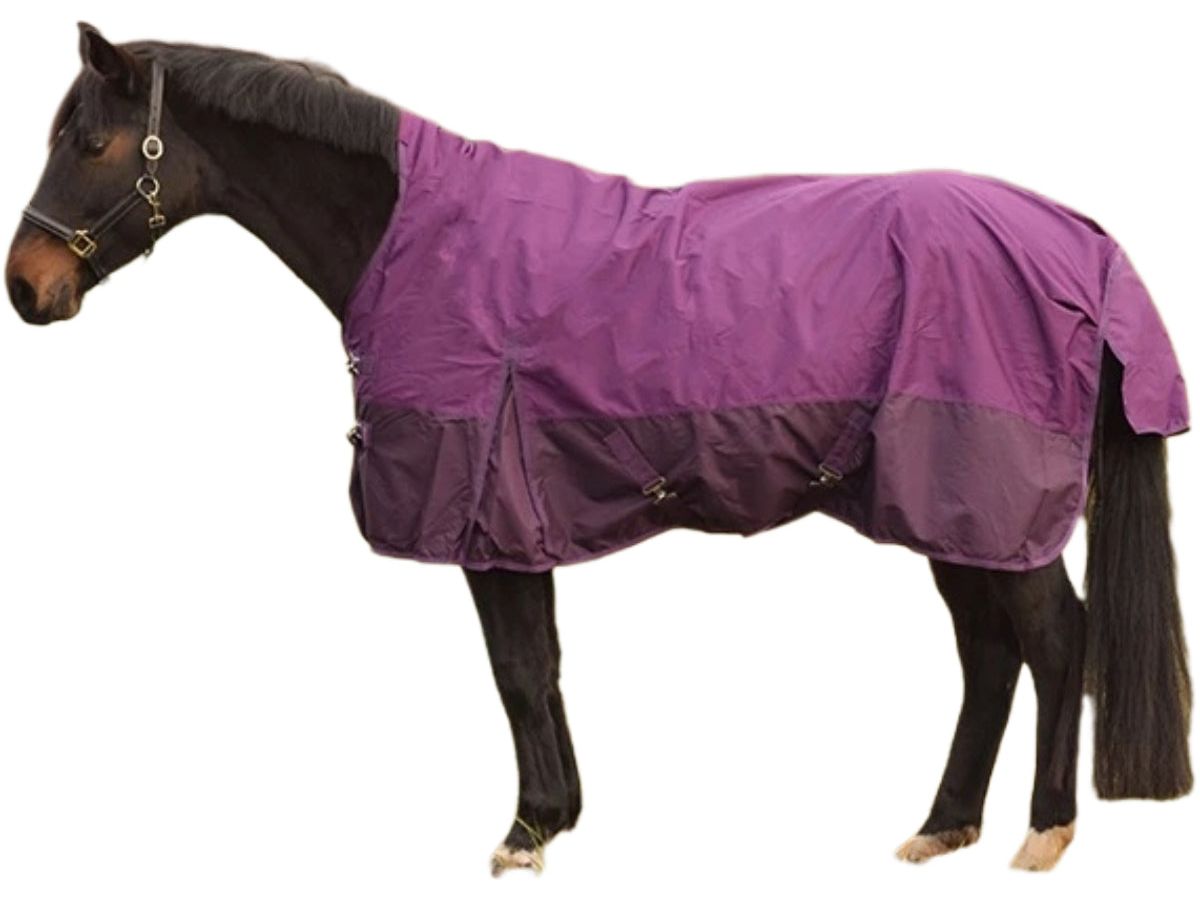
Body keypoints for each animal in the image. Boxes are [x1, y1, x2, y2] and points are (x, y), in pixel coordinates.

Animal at [5, 23, 1192, 876]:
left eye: (91, 144)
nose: (28, 287)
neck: (411, 236)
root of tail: (1081, 240)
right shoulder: (516, 516)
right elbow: (542, 668)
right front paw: (558, 816)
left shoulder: (483, 512)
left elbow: (517, 672)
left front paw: (527, 833)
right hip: (951, 510)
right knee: (990, 655)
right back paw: (942, 827)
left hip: (987, 505)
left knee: (1058, 642)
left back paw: (1041, 835)